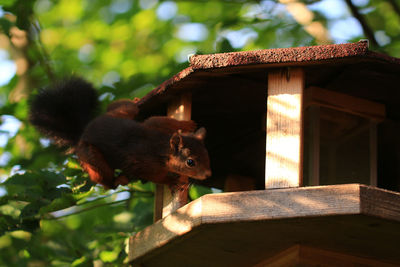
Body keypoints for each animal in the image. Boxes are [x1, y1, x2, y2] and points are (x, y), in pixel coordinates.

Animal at [29, 77, 211, 191]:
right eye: (190, 162)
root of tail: (83, 132)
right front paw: (171, 180)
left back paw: (136, 100)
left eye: (207, 154)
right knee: (105, 180)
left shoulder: (155, 126)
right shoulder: (144, 165)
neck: (161, 148)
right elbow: (155, 177)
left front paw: (186, 124)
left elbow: (159, 120)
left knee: (127, 107)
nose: (208, 174)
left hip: (123, 112)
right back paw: (117, 180)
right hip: (91, 158)